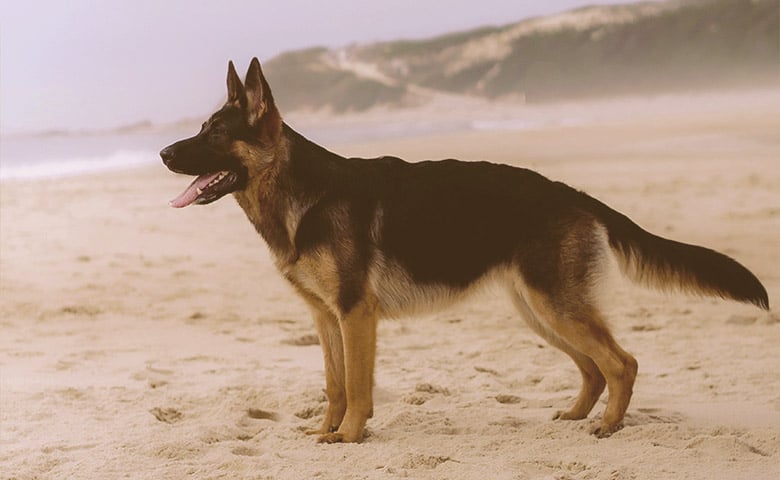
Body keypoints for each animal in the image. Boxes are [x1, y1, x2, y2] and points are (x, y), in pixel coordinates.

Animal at [158, 58, 768, 444]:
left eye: (215, 133)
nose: (162, 153)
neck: (302, 193)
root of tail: (572, 193)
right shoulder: (326, 318)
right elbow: (333, 385)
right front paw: (327, 431)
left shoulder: (356, 316)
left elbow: (356, 386)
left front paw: (350, 437)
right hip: (540, 312)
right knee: (594, 368)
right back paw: (577, 415)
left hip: (555, 308)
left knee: (622, 362)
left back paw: (608, 427)